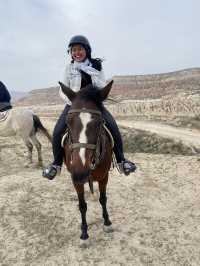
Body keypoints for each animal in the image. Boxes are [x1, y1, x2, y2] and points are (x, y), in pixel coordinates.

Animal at [59, 80, 114, 245]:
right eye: (67, 122)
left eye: (100, 122)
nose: (80, 172)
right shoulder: (76, 181)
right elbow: (82, 206)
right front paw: (84, 234)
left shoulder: (104, 177)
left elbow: (103, 199)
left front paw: (107, 222)